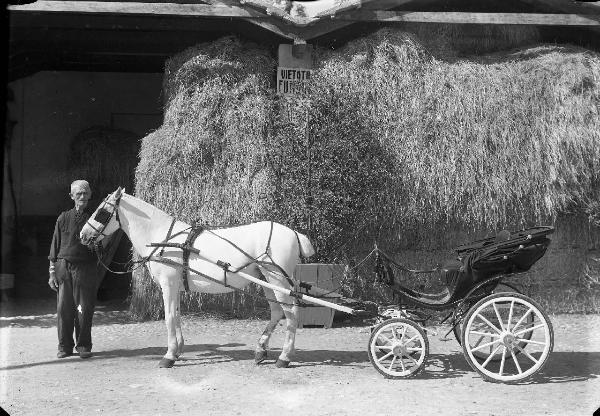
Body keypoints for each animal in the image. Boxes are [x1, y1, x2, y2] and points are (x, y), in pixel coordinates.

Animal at [80, 188, 316, 368]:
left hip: (278, 281)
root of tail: (294, 233)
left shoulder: (168, 284)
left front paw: (168, 356)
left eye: (101, 212)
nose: (83, 235)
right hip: (268, 280)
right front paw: (177, 350)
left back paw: (284, 357)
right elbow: (176, 315)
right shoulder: (175, 286)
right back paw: (260, 351)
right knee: (277, 312)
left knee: (291, 313)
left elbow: (169, 317)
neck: (163, 237)